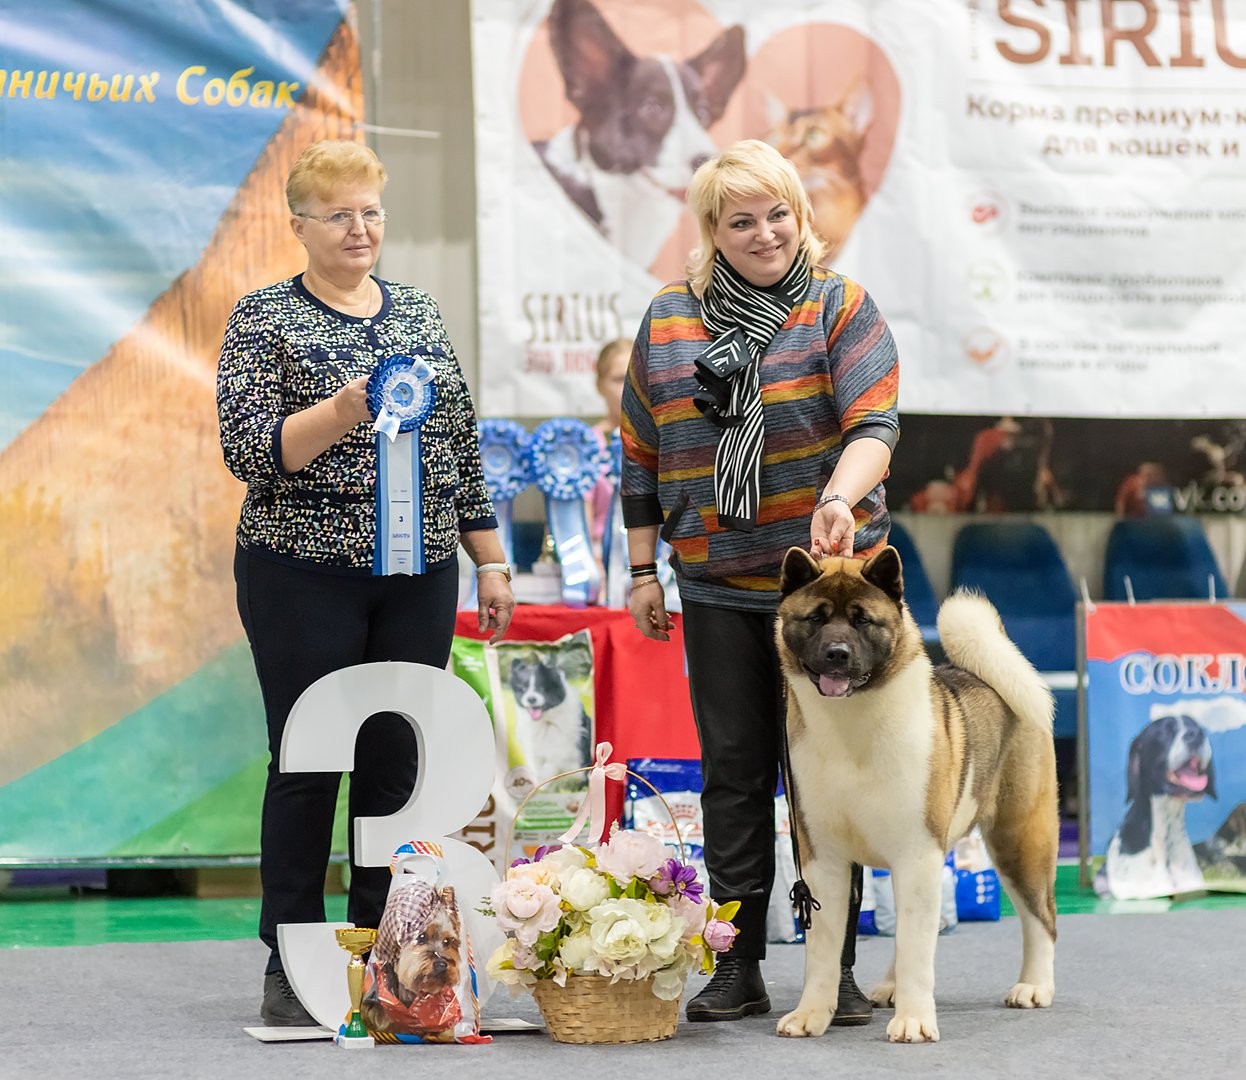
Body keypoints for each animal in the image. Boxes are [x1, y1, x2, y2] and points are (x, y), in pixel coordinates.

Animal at [772, 545, 1056, 1041]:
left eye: (863, 621)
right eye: (816, 618)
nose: (837, 654)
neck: (852, 725)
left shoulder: (916, 851)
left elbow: (917, 953)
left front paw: (914, 1022)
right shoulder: (824, 859)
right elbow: (824, 951)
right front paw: (811, 1015)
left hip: (1019, 838)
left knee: (1041, 917)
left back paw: (1034, 987)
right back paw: (889, 986)